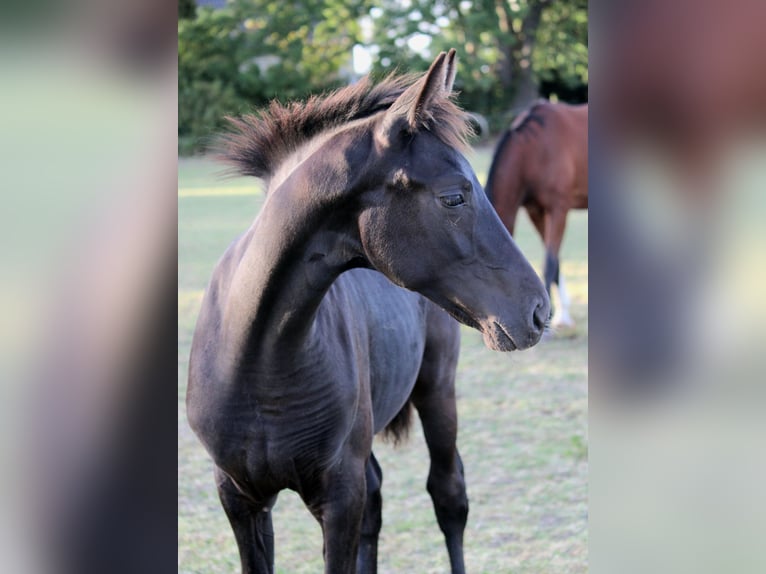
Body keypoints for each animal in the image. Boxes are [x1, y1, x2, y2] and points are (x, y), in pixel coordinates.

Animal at [186, 50, 550, 574]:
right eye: (454, 196)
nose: (539, 311)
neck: (259, 360)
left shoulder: (338, 496)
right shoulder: (239, 498)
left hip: (437, 388)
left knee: (449, 494)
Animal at [485, 100, 588, 327]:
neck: (536, 150)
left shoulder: (558, 209)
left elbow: (549, 263)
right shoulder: (535, 212)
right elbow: (556, 263)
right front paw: (561, 315)